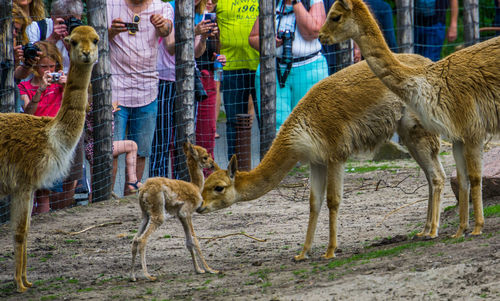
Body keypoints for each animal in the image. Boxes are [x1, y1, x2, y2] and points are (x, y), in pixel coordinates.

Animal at [131, 142, 219, 280]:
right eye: (205, 157)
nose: (212, 164)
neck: (195, 186)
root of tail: (143, 190)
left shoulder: (181, 216)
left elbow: (189, 242)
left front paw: (198, 270)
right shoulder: (186, 213)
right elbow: (195, 240)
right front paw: (210, 269)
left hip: (145, 215)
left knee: (135, 239)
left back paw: (132, 276)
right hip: (158, 214)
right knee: (142, 240)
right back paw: (148, 276)